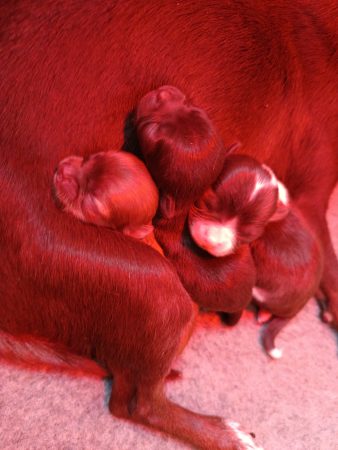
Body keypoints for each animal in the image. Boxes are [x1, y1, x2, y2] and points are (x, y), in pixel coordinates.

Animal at [187, 155, 322, 358]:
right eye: (208, 202)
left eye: (248, 234)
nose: (210, 242)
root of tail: (301, 304)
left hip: (264, 293)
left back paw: (264, 313)